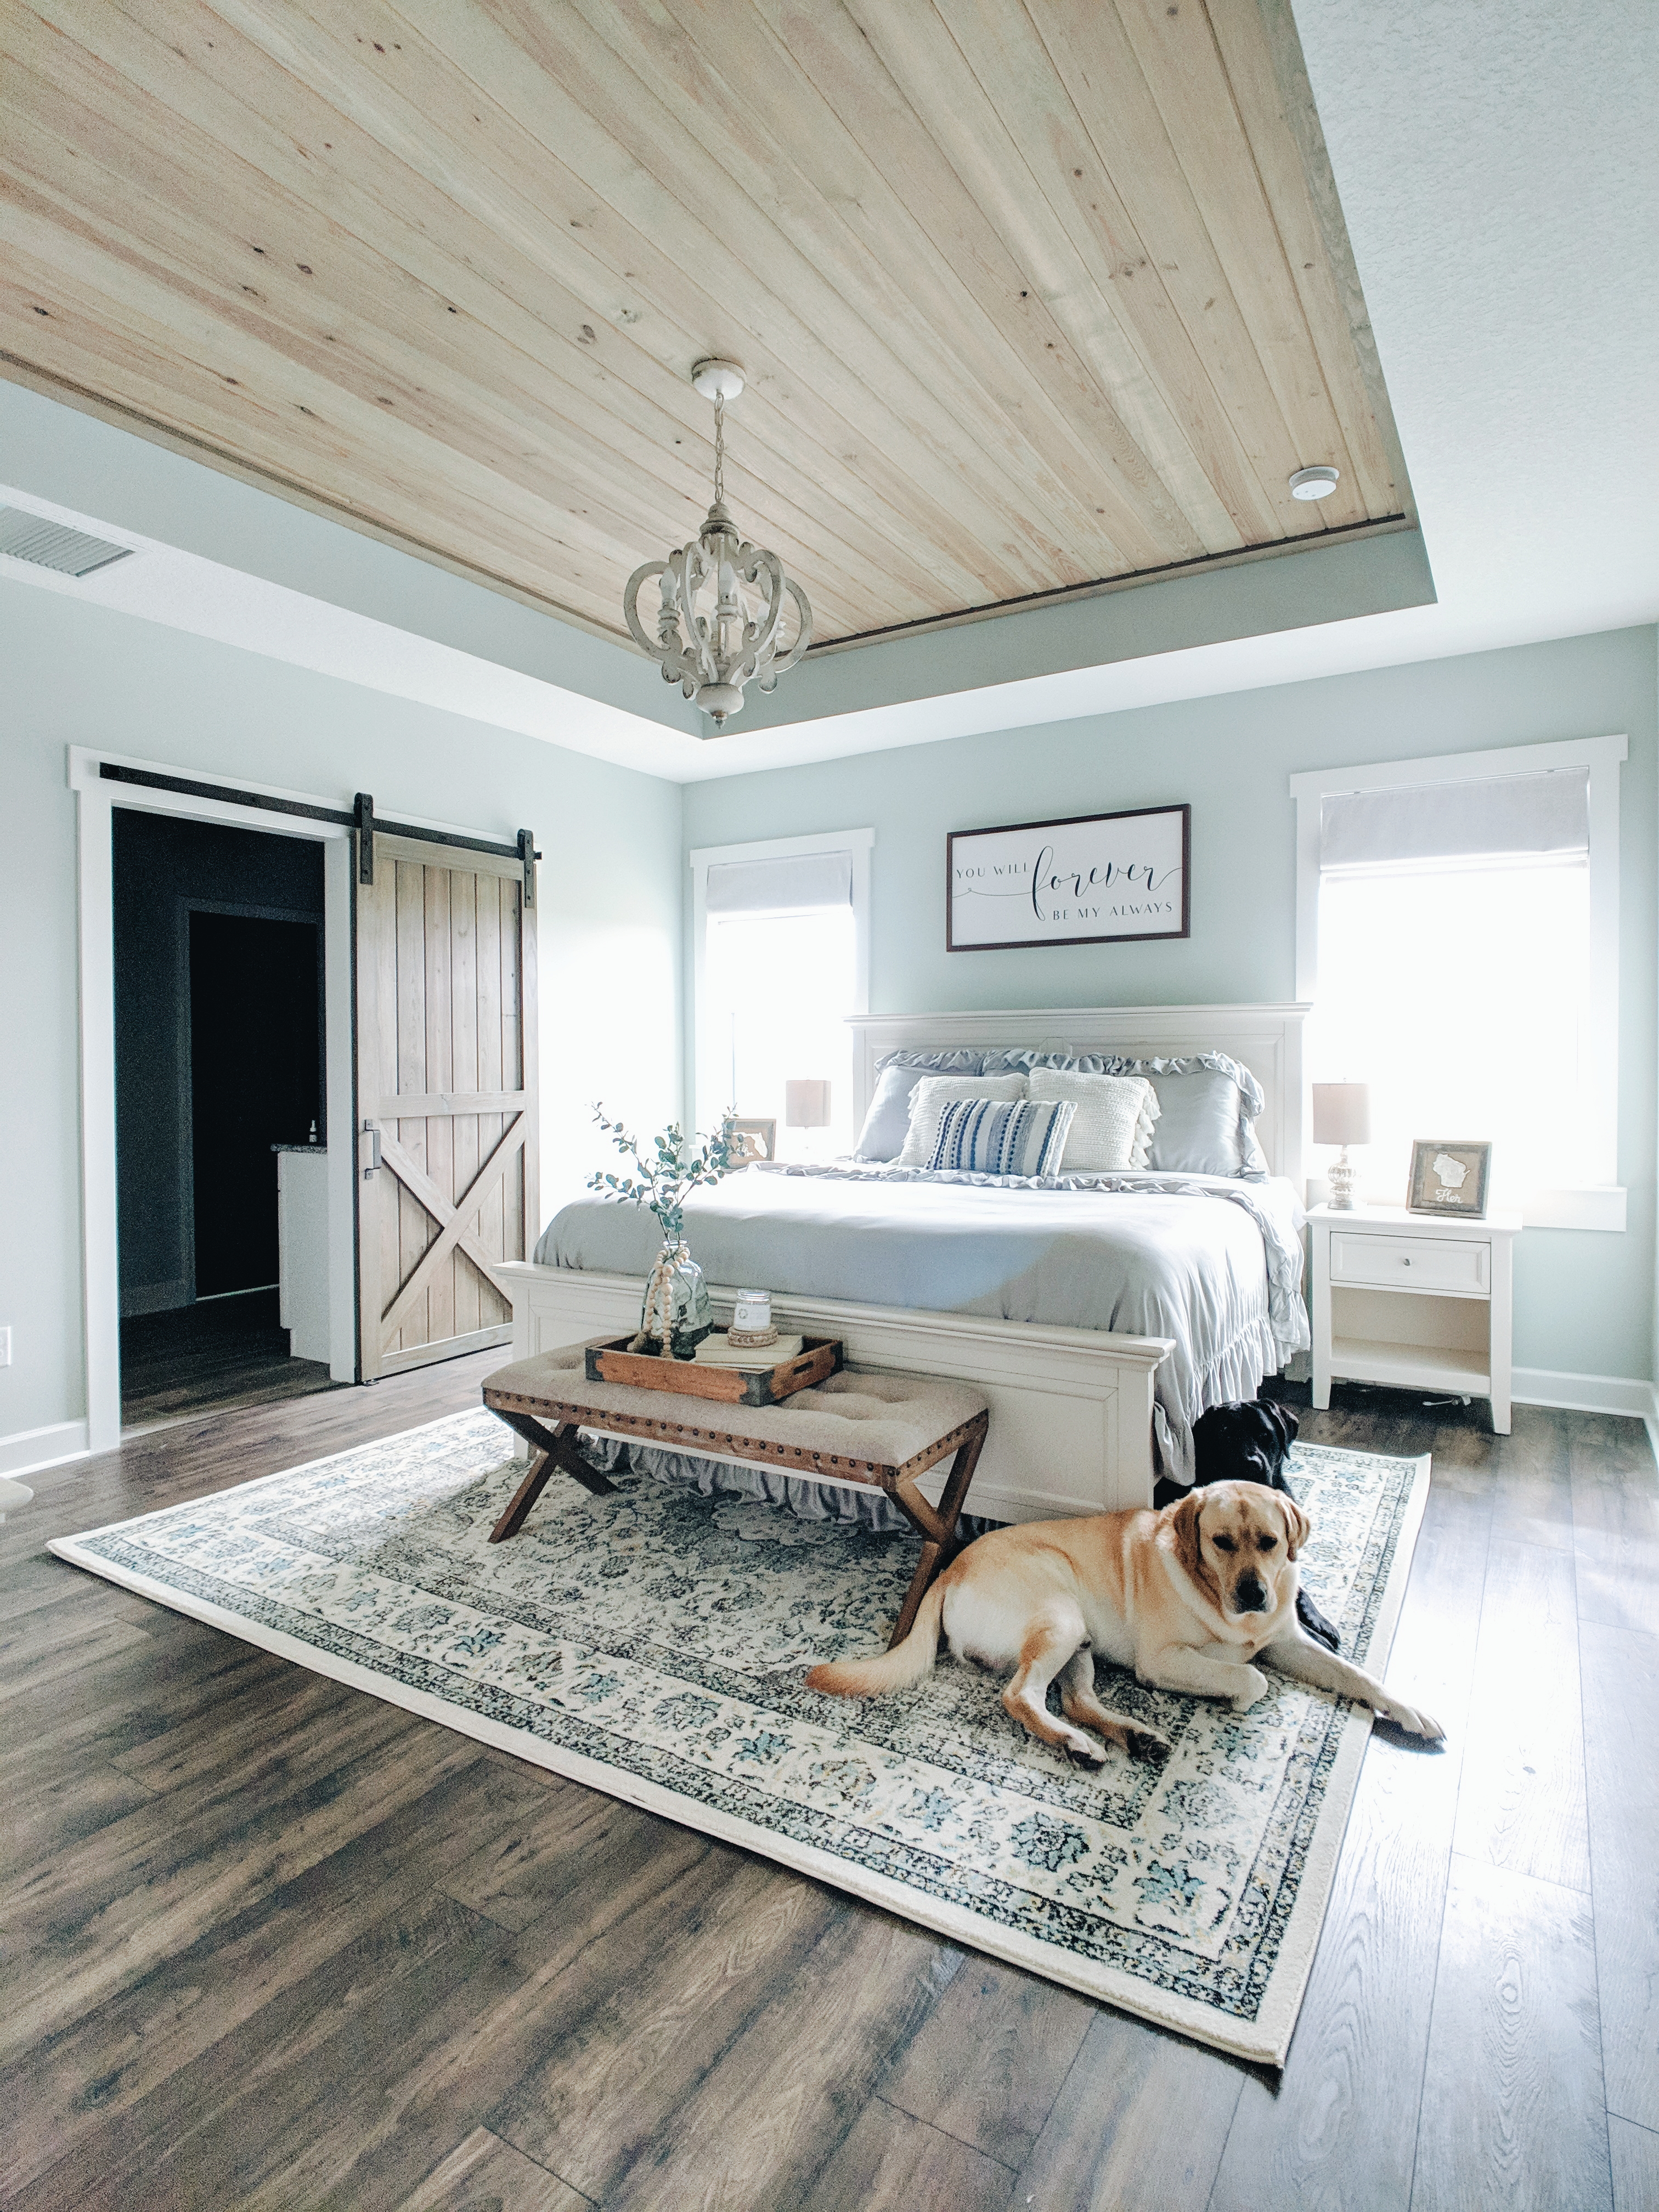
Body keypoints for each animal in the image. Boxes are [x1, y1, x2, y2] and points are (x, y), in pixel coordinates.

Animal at [805, 1477, 1442, 1769]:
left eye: (1270, 1541)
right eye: (1221, 1542)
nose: (1255, 1592)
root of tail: (951, 1566)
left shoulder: (1286, 1641)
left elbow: (1359, 1676)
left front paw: (1410, 1711)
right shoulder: (1164, 1660)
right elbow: (1253, 1678)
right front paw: (1234, 1695)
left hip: (1081, 1641)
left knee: (1077, 1698)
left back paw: (1134, 1736)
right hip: (1060, 1616)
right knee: (1021, 1696)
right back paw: (1077, 1744)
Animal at [1159, 1407, 1345, 1654]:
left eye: (1265, 1435)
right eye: (1226, 1434)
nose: (1252, 1463)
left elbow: (1299, 1592)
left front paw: (1319, 1621)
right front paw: (1314, 1635)